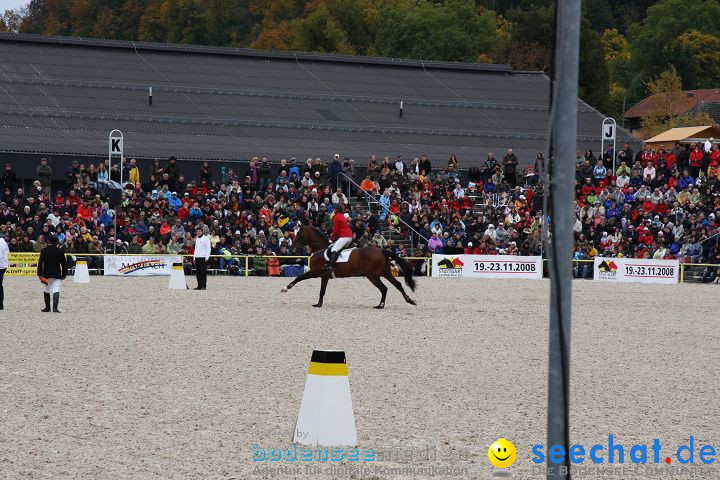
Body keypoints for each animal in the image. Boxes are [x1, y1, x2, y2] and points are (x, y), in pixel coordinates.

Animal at [280, 224, 420, 308]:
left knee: (384, 288)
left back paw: (381, 305)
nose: (293, 249)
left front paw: (285, 288)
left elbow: (299, 278)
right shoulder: (324, 276)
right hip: (385, 273)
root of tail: (381, 250)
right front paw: (318, 304)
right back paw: (409, 300)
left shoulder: (314, 272)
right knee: (397, 285)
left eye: (299, 234)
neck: (320, 249)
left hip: (373, 275)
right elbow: (322, 291)